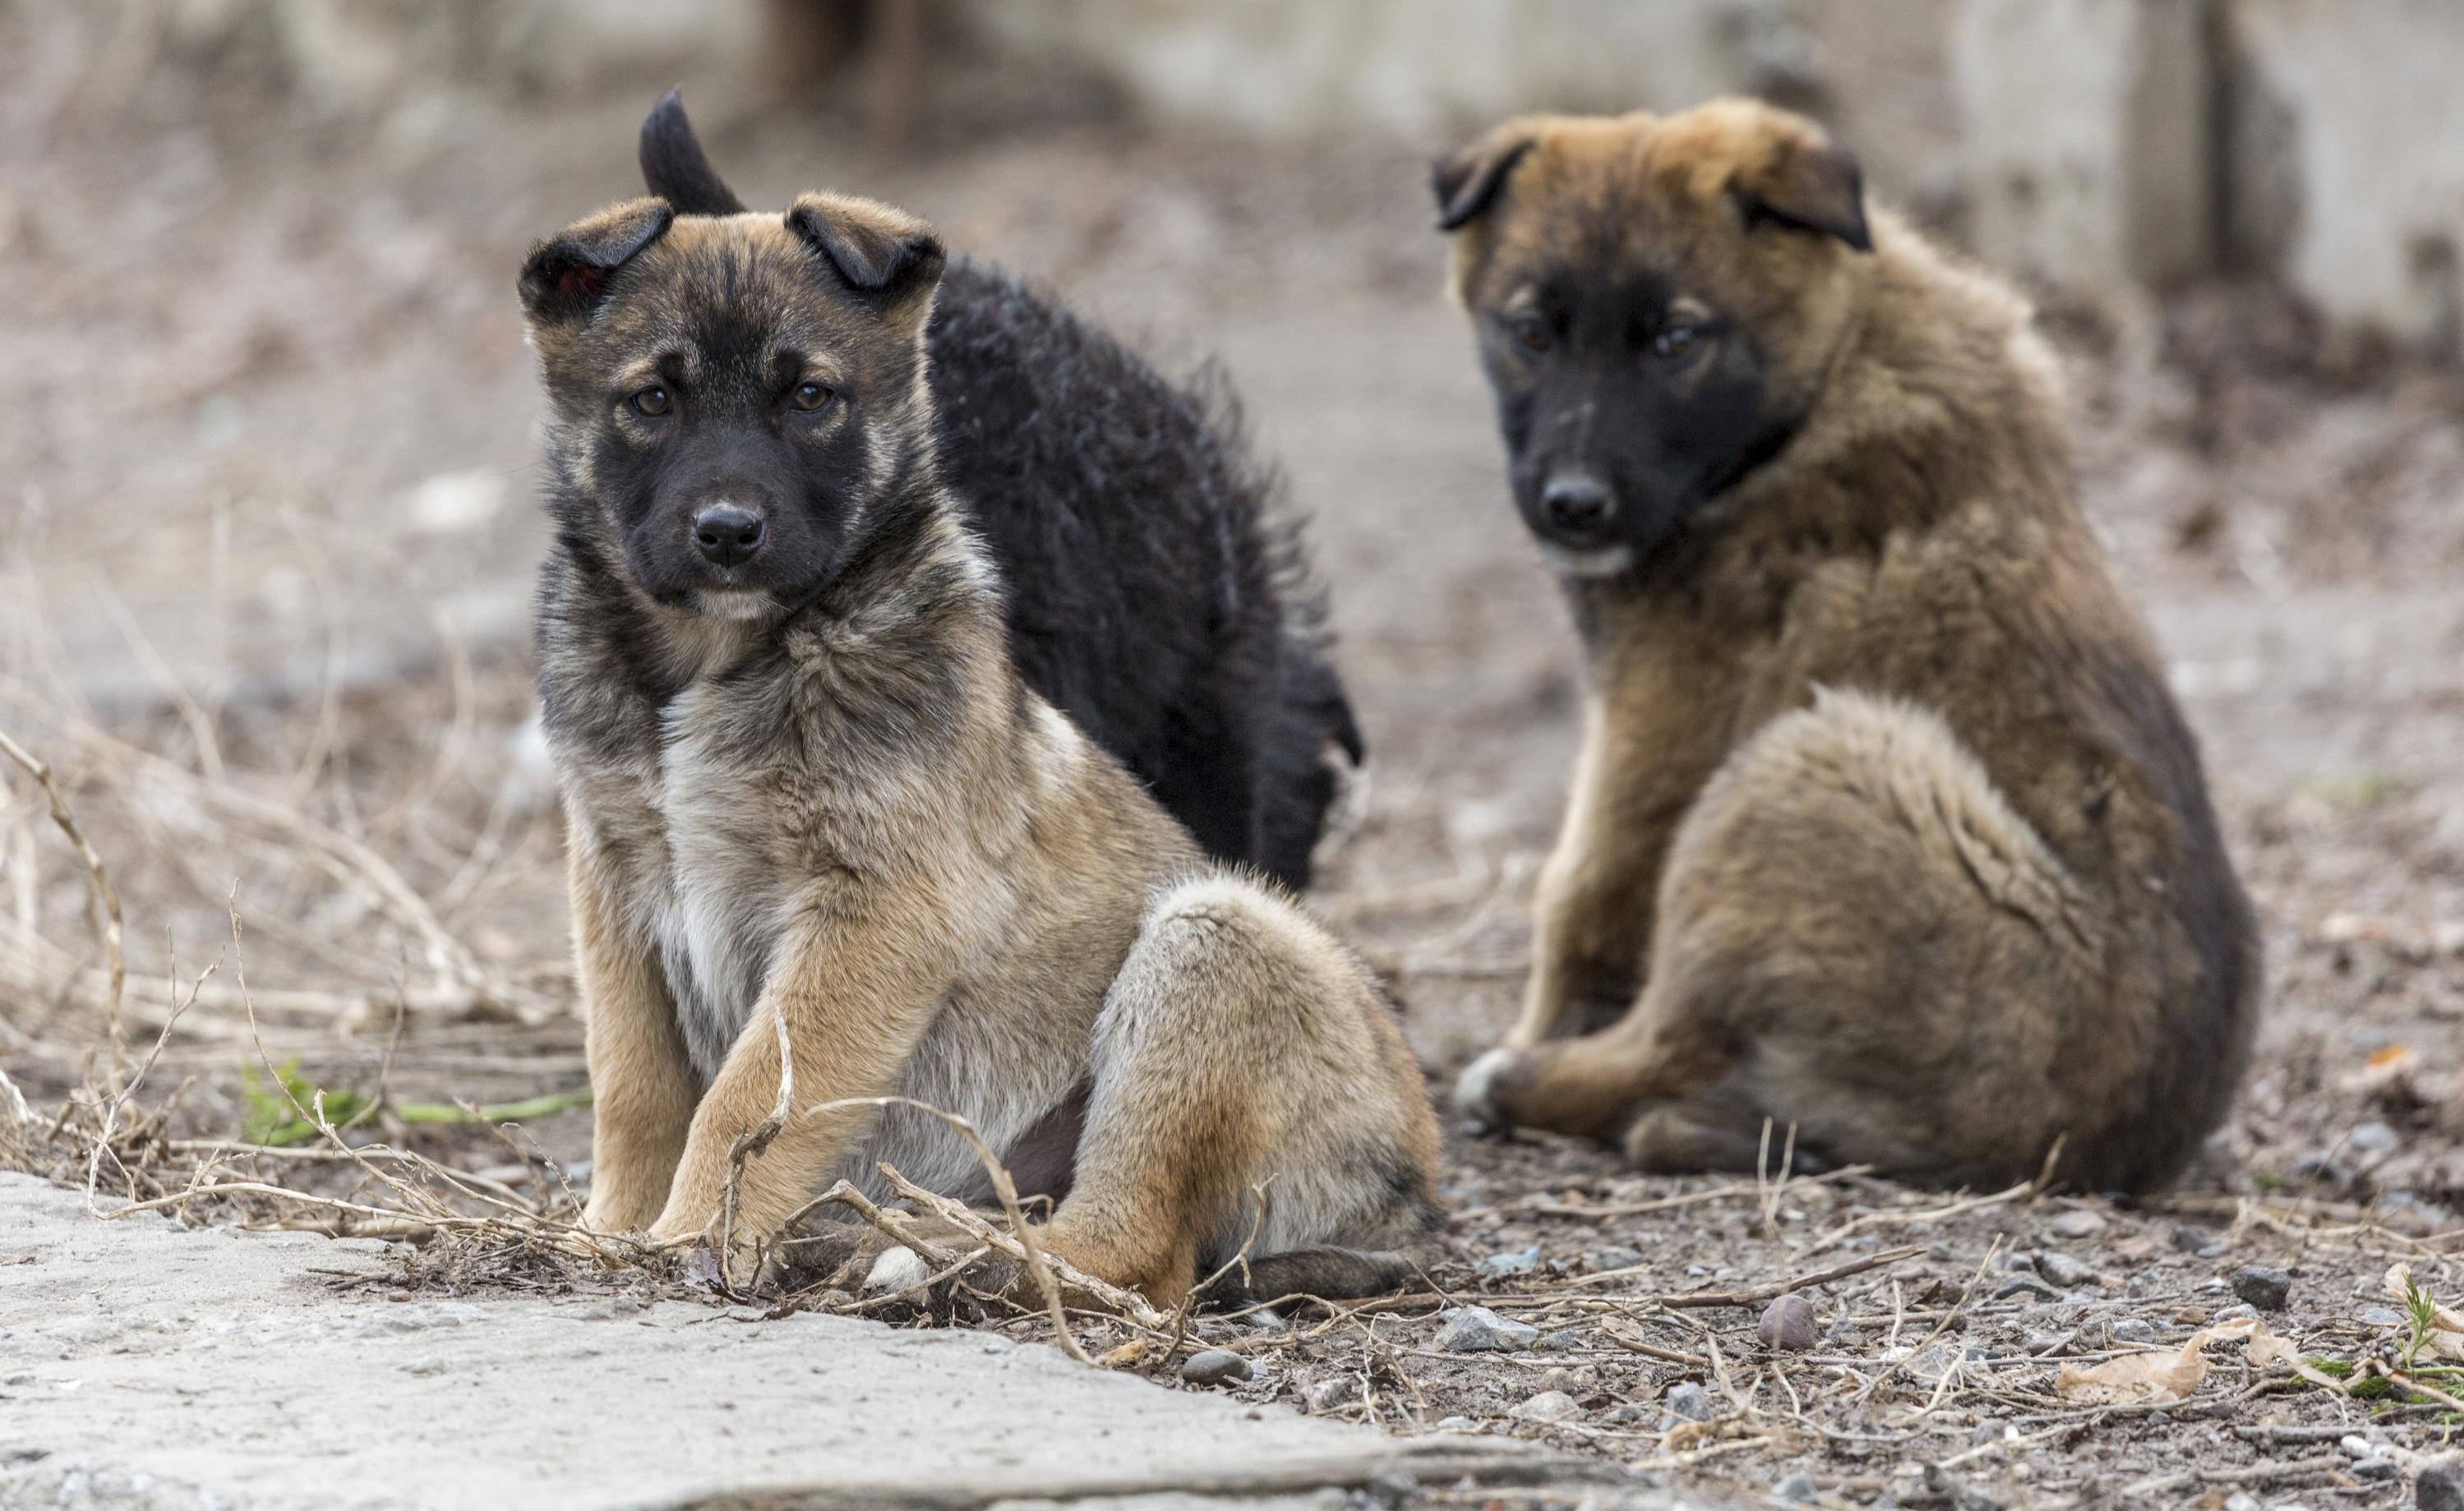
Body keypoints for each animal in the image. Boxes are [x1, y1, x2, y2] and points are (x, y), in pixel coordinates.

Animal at [524, 188, 1438, 1292]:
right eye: (652, 401)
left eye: (811, 398)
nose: (729, 533)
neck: (715, 664)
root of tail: (1411, 1206)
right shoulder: (614, 887)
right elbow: (635, 1087)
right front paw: (608, 1232)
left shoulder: (876, 909)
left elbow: (744, 1103)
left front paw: (693, 1233)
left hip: (1215, 938)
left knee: (1129, 1248)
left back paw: (927, 1251)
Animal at [1438, 100, 2257, 1198]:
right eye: (1529, 333)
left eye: (1676, 340)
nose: (1573, 505)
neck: (1824, 379)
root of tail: (2071, 1153)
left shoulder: (1659, 721)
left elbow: (1577, 895)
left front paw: (1531, 1035)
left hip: (1803, 765)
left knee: (1674, 1035)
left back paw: (1521, 1081)